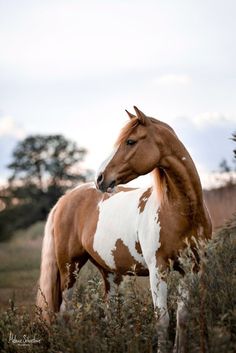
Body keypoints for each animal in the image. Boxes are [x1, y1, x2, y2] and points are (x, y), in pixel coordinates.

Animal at [37, 106, 212, 352]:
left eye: (130, 141)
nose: (100, 178)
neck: (181, 211)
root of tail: (65, 198)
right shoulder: (158, 269)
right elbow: (163, 319)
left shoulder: (192, 268)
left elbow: (182, 316)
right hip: (69, 268)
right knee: (65, 312)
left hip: (109, 272)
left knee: (109, 313)